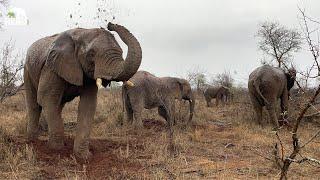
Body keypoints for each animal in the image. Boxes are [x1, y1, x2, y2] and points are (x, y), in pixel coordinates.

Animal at [25, 22, 144, 162]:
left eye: (121, 52)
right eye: (91, 54)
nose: (109, 24)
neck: (81, 33)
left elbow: (88, 105)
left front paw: (84, 157)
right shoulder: (51, 67)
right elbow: (46, 98)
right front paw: (56, 150)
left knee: (57, 106)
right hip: (27, 70)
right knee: (35, 105)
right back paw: (32, 141)